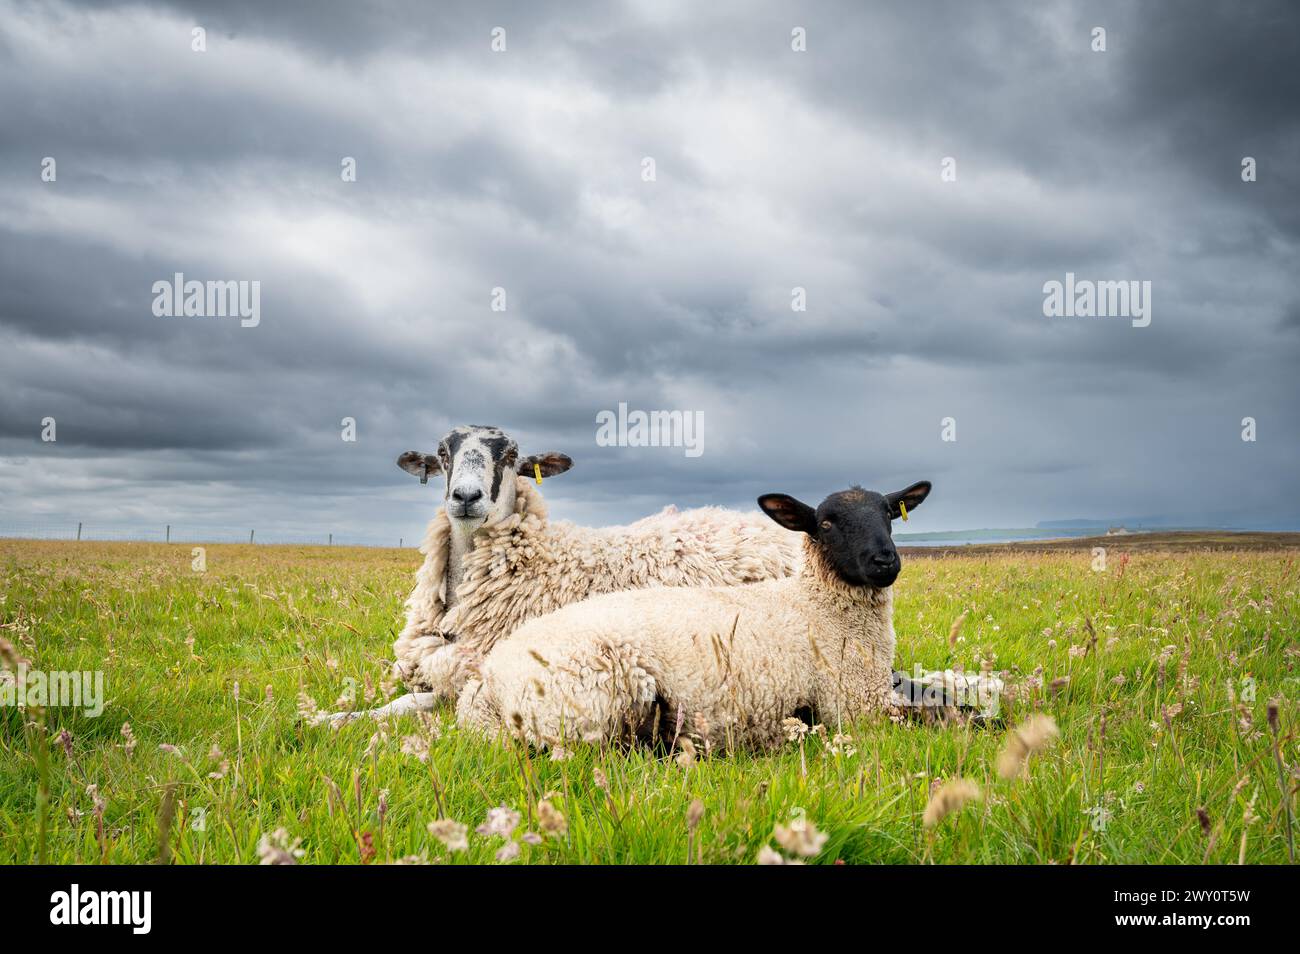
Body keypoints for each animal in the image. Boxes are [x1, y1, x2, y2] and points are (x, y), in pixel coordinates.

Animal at [322, 426, 800, 722]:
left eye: (512, 455)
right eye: (443, 453)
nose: (466, 496)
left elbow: (413, 703)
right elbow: (392, 702)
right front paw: (329, 717)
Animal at [457, 480, 935, 748]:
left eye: (889, 515)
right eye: (827, 523)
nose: (885, 561)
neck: (814, 603)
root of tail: (488, 680)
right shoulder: (854, 707)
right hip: (595, 700)